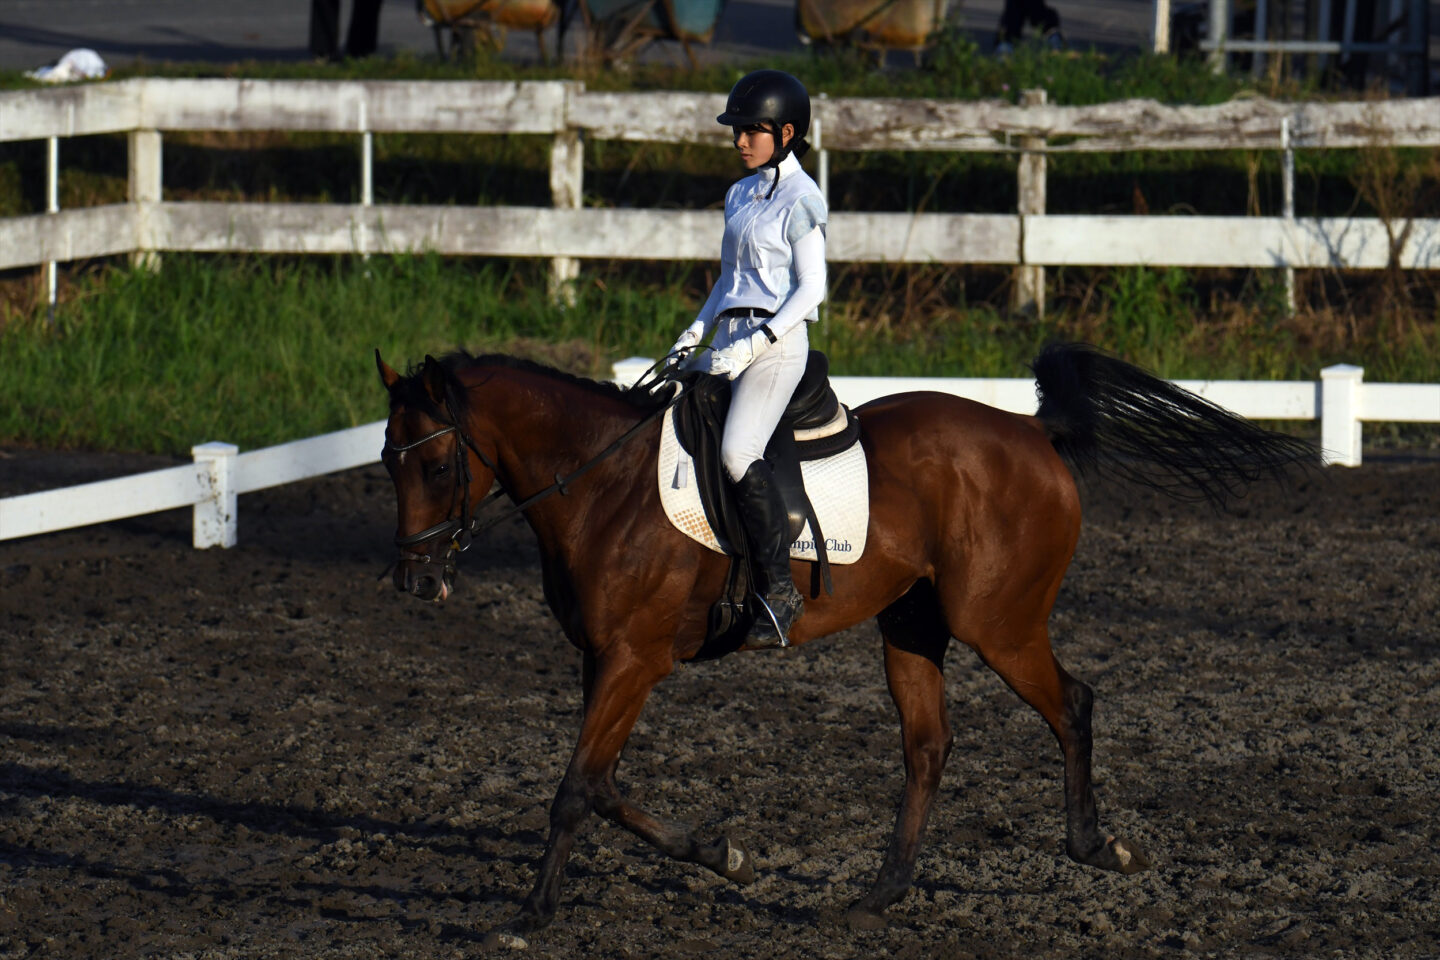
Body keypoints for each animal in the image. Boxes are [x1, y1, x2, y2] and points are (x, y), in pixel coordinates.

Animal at [374, 343, 1319, 932]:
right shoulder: (601, 662)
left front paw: (530, 915)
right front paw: (724, 855)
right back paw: (879, 895)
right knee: (929, 747)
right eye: (386, 462)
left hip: (998, 623)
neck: (605, 485)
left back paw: (1096, 848)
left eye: (435, 463)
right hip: (912, 625)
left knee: (1072, 705)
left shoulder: (632, 661)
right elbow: (602, 785)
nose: (417, 582)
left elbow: (575, 789)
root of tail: (1029, 433)